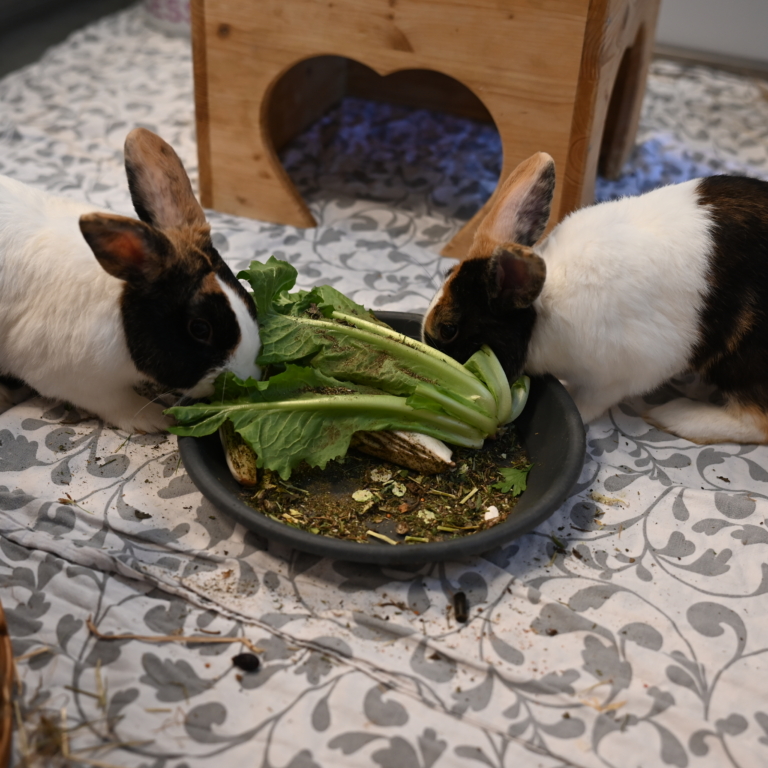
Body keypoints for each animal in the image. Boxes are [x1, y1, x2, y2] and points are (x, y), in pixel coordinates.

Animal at [0, 127, 261, 433]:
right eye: (200, 328)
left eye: (246, 297)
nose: (250, 377)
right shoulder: (72, 380)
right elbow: (119, 403)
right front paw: (157, 419)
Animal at [422, 151, 768, 445]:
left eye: (448, 329)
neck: (541, 313)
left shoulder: (618, 376)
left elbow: (586, 403)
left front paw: (571, 399)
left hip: (744, 362)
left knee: (757, 422)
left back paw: (673, 415)